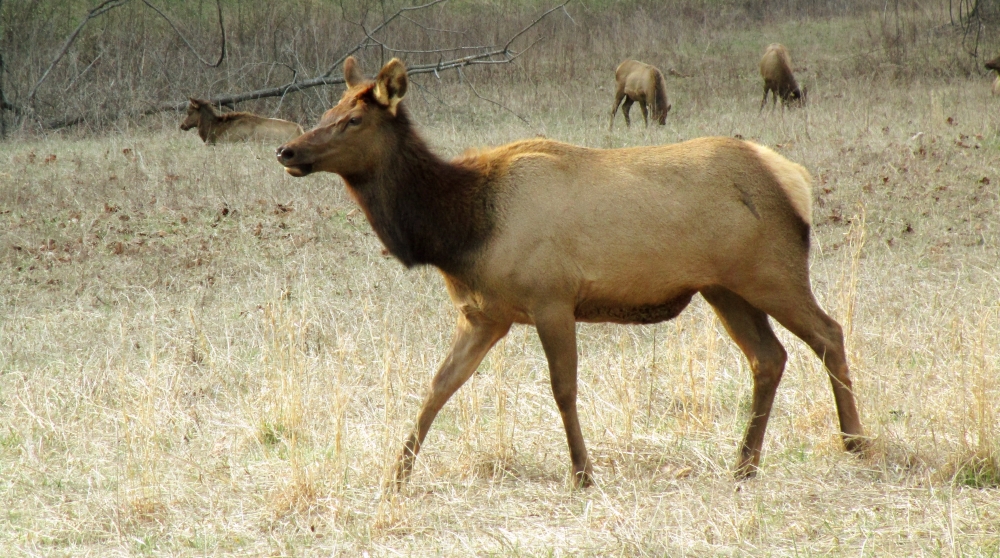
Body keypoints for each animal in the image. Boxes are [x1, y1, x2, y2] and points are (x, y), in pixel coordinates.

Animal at [276, 57, 866, 488]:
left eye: (354, 119)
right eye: (329, 108)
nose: (287, 149)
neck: (461, 230)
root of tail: (796, 181)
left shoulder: (551, 297)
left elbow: (563, 387)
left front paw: (583, 473)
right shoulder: (484, 314)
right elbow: (439, 385)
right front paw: (396, 474)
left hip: (772, 272)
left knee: (828, 332)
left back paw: (854, 441)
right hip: (724, 288)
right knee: (769, 357)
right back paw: (744, 463)